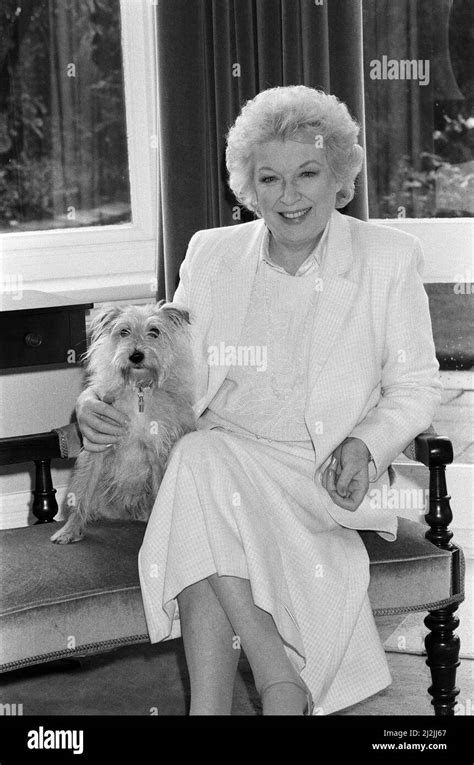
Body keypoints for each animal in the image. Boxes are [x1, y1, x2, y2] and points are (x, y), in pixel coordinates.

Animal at [50, 300, 194, 544]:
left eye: (154, 332)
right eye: (124, 331)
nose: (136, 355)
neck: (138, 390)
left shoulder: (156, 453)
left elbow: (159, 490)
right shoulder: (98, 448)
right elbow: (83, 492)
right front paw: (70, 529)